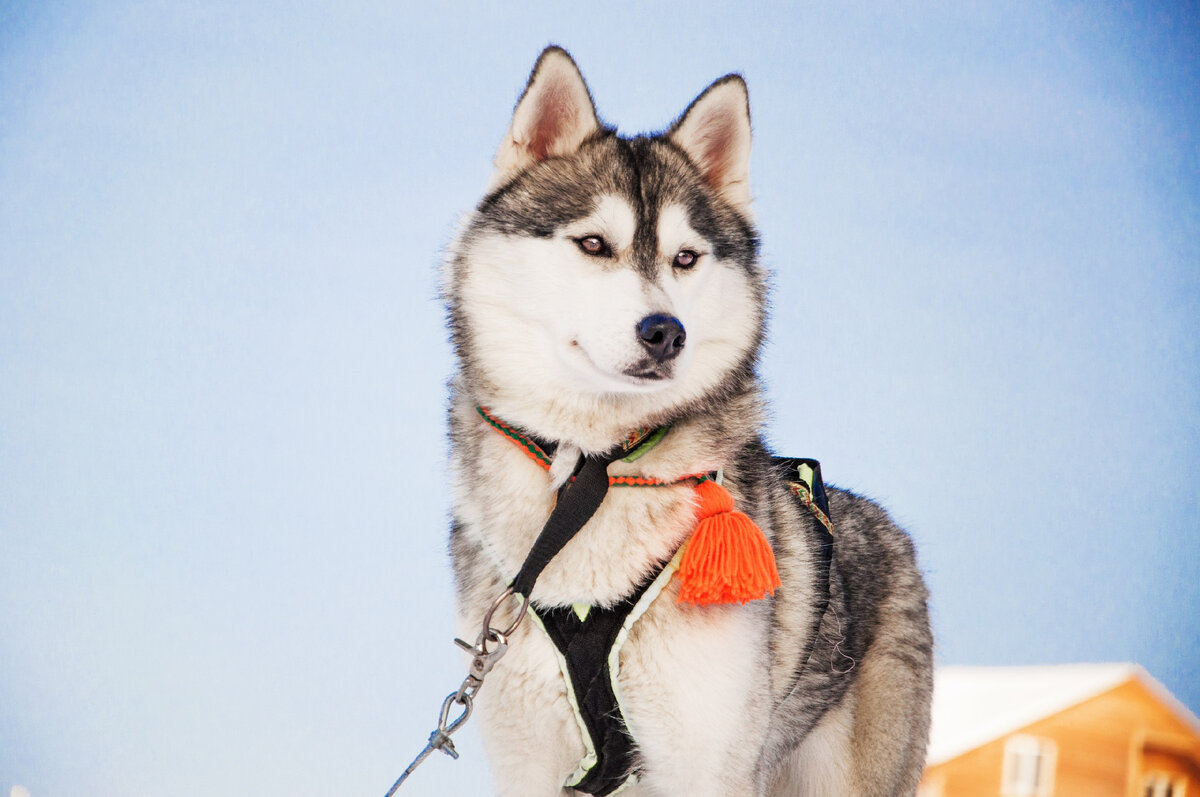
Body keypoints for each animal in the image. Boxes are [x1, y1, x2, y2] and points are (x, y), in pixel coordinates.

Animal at [444, 46, 936, 792]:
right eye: (594, 244)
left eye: (685, 258)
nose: (664, 332)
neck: (594, 476)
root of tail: (889, 527)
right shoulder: (525, 756)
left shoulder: (705, 755)